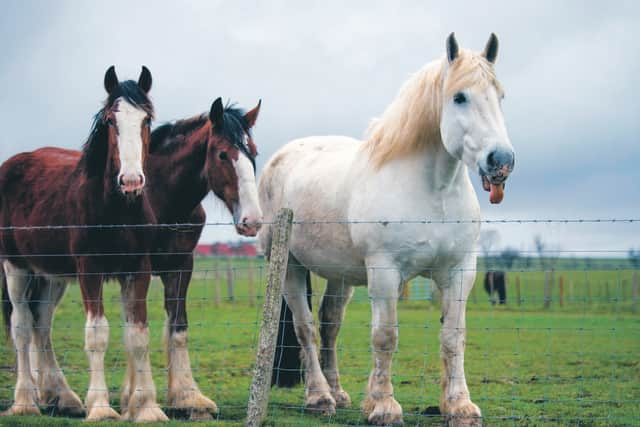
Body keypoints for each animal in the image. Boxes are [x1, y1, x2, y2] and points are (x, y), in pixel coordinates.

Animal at [0, 67, 168, 424]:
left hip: (52, 275)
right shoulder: (89, 270)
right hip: (16, 268)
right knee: (22, 326)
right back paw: (25, 401)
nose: (131, 181)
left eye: (146, 119)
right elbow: (97, 334)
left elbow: (138, 335)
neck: (117, 212)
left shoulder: (138, 270)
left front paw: (147, 408)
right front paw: (102, 407)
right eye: (110, 120)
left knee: (42, 323)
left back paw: (63, 398)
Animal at [260, 34, 516, 427]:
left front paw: (459, 405)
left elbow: (453, 336)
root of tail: (281, 157)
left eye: (499, 95)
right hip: (289, 266)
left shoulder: (460, 271)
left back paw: (338, 393)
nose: (500, 161)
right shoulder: (385, 271)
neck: (433, 192)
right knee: (305, 327)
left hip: (340, 275)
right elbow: (385, 337)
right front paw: (383, 406)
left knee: (330, 324)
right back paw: (319, 397)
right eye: (459, 97)